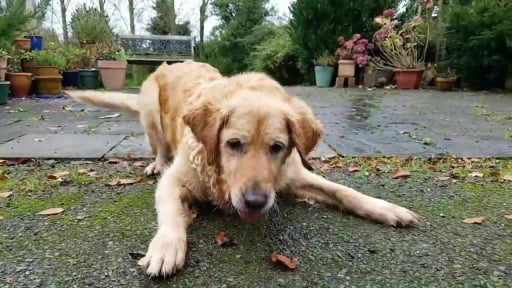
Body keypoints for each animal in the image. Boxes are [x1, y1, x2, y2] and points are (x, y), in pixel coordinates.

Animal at [122, 61, 422, 276]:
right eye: (234, 144)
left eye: (277, 147)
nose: (255, 201)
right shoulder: (174, 181)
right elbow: (171, 214)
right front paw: (166, 248)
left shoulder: (294, 175)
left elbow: (344, 192)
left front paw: (387, 209)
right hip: (150, 111)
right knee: (159, 146)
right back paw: (156, 164)